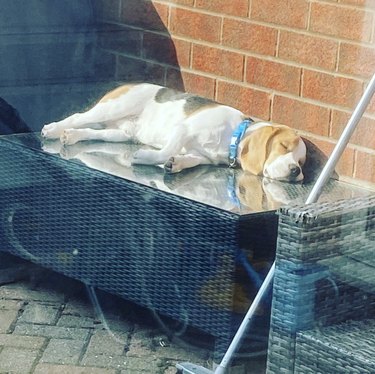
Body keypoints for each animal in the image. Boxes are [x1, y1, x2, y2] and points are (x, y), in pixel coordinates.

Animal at [41, 82, 306, 182]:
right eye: (284, 146)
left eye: (302, 161)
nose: (296, 171)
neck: (233, 135)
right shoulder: (184, 129)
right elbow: (165, 150)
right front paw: (147, 157)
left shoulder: (201, 156)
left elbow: (190, 159)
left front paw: (175, 163)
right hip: (115, 106)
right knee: (77, 117)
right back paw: (53, 129)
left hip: (122, 134)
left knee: (93, 132)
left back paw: (71, 135)